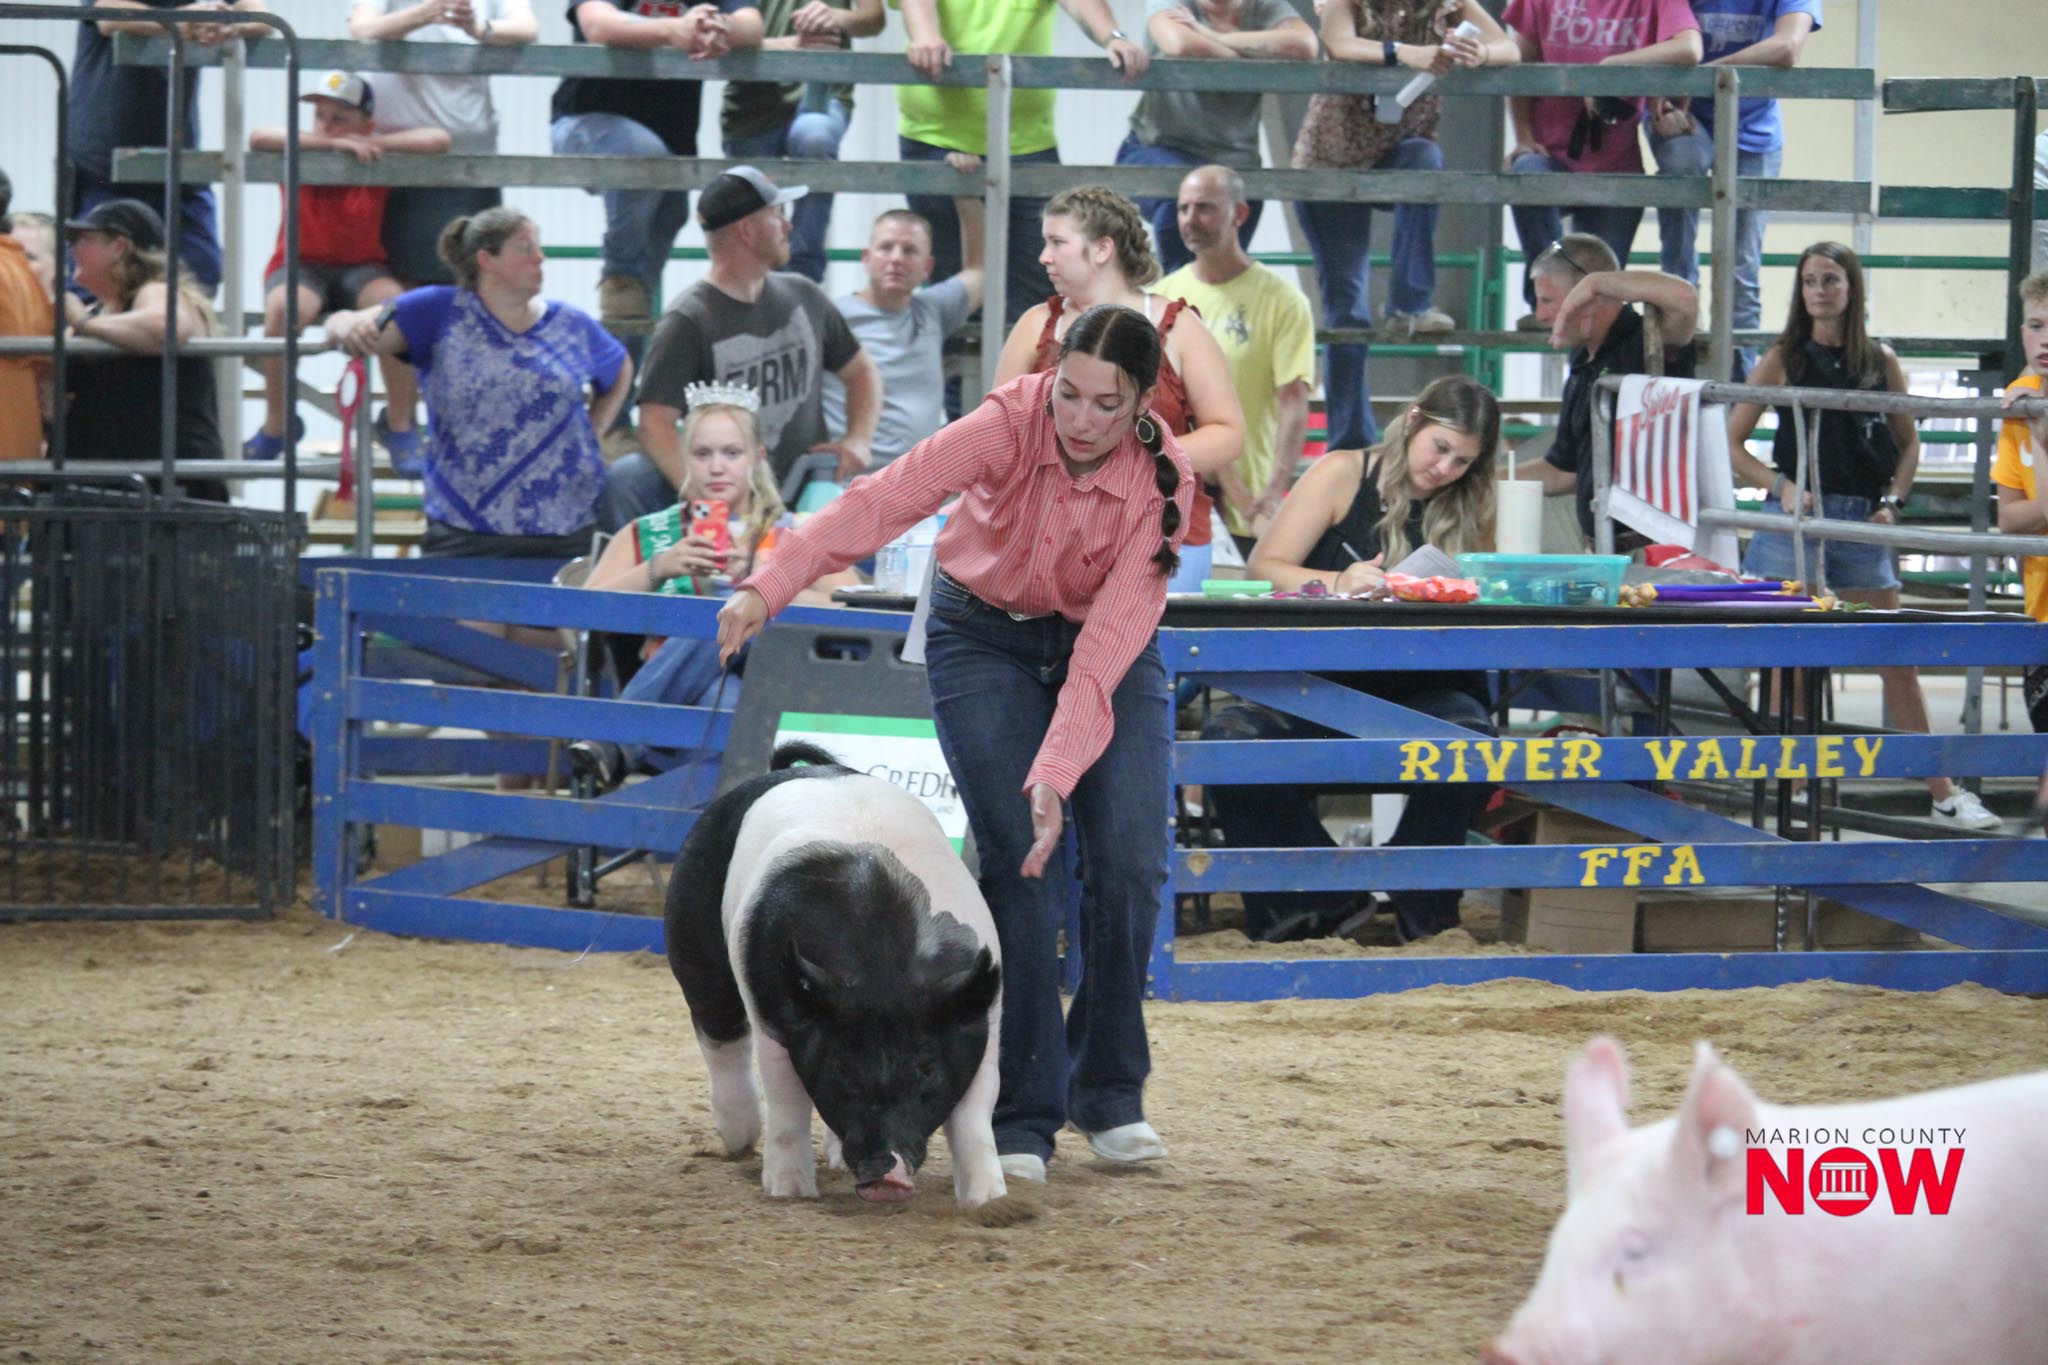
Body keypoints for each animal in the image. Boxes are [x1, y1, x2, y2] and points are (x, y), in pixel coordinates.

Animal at [665, 741, 1005, 1208]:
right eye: (842, 1068)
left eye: (926, 1069)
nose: (885, 1173)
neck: (884, 971)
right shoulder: (775, 1017)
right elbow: (786, 1101)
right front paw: (790, 1192)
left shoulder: (983, 1023)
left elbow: (976, 1114)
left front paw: (990, 1200)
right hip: (694, 941)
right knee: (721, 1040)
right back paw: (739, 1142)